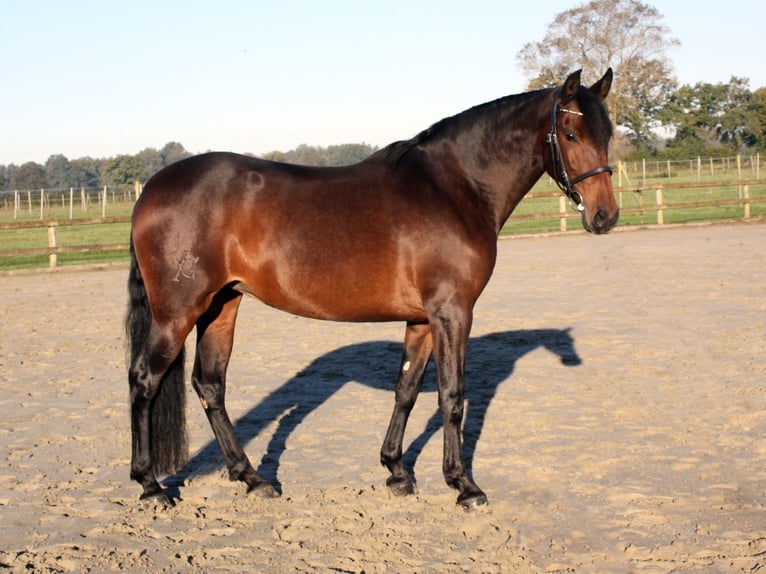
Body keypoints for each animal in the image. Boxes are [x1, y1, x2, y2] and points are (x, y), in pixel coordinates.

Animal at [126, 70, 616, 510]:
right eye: (570, 134)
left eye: (608, 132)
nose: (605, 216)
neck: (455, 187)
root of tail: (151, 190)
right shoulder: (453, 312)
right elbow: (452, 395)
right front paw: (463, 485)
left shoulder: (422, 319)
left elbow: (407, 388)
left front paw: (396, 471)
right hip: (178, 313)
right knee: (144, 380)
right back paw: (151, 485)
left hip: (222, 305)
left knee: (210, 385)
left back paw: (252, 478)